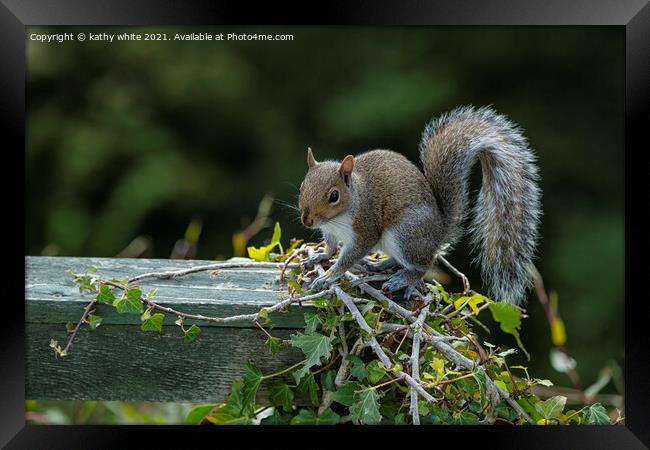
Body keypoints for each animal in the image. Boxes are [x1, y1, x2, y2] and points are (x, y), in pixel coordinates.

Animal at [296, 104, 540, 306]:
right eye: (301, 186)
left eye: (334, 196)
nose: (307, 220)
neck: (337, 219)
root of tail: (439, 231)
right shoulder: (330, 231)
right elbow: (330, 247)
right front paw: (320, 257)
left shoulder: (365, 228)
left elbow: (349, 257)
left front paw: (328, 276)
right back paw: (382, 265)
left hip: (405, 233)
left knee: (424, 264)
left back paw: (403, 279)